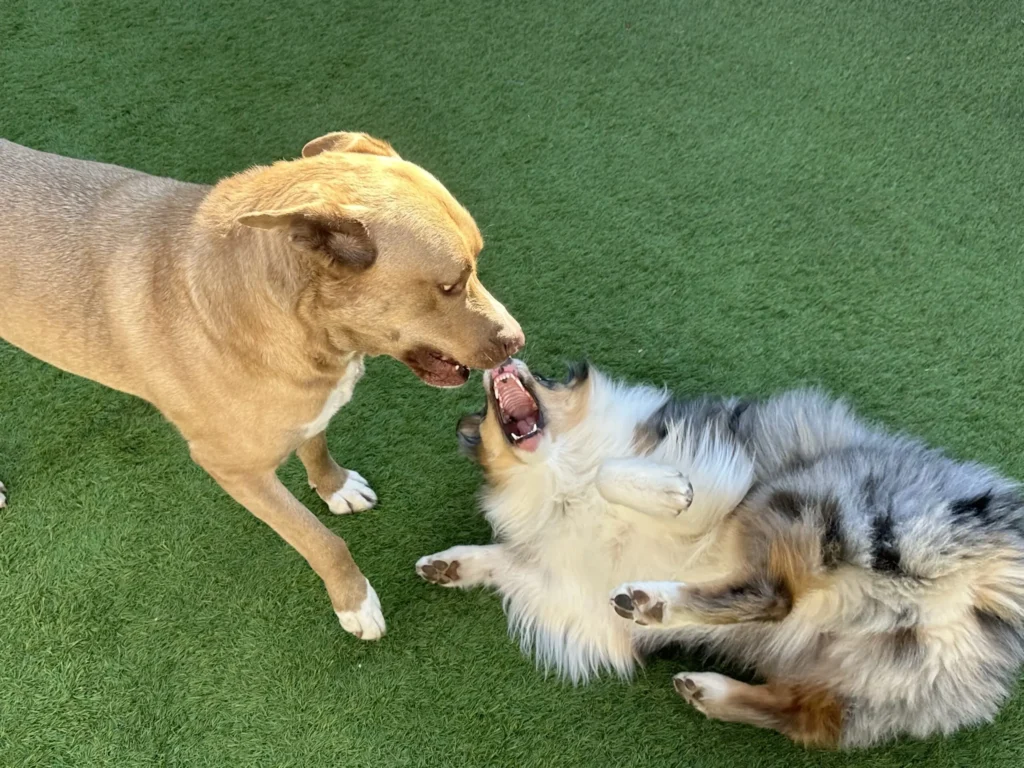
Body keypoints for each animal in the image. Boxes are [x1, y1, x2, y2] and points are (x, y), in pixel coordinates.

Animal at [0, 135, 524, 638]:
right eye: (450, 285)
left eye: (477, 260)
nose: (517, 339)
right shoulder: (235, 471)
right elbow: (321, 541)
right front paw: (354, 602)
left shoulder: (310, 404)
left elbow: (316, 445)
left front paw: (334, 487)